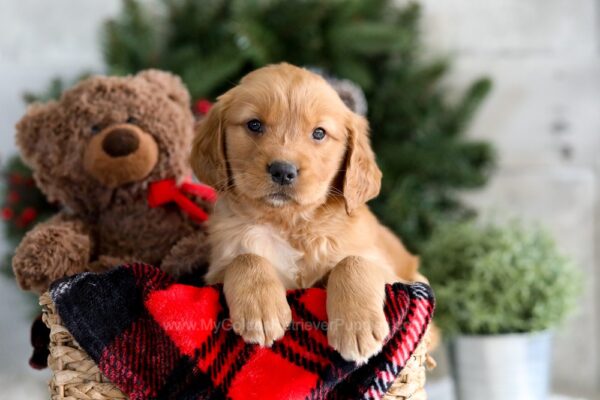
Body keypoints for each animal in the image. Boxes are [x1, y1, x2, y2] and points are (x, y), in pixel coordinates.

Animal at [192, 63, 422, 362]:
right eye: (254, 125)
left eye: (319, 133)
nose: (283, 171)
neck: (289, 224)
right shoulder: (216, 270)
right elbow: (245, 258)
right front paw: (261, 311)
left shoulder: (393, 276)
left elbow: (353, 262)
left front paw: (357, 327)